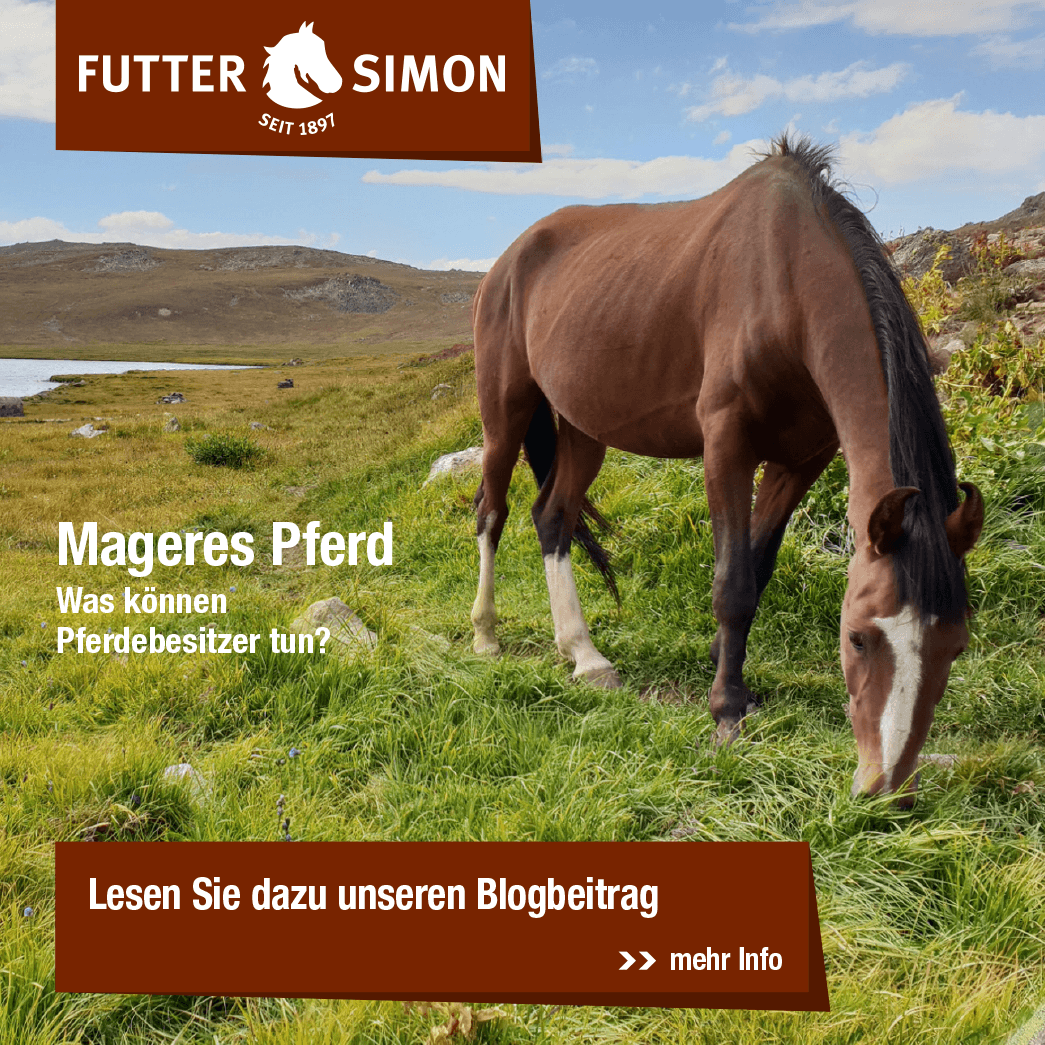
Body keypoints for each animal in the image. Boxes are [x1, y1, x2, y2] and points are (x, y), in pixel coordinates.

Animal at [469, 134, 983, 805]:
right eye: (858, 637)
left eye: (956, 646)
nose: (886, 787)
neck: (784, 283)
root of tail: (508, 260)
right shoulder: (726, 446)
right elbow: (733, 583)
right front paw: (726, 712)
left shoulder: (800, 462)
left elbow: (757, 571)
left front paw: (728, 668)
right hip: (504, 410)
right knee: (492, 511)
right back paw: (485, 635)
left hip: (584, 428)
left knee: (552, 518)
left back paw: (584, 655)